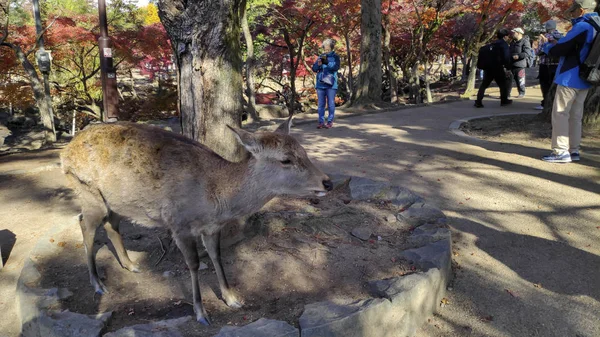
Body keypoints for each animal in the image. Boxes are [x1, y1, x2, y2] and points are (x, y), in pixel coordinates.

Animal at [60, 117, 332, 322]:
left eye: (304, 152)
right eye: (286, 159)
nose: (327, 182)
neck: (216, 199)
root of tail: (65, 151)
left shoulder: (212, 227)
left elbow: (216, 256)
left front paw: (233, 298)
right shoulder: (179, 223)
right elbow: (193, 264)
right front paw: (201, 312)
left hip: (116, 200)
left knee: (112, 224)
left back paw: (131, 265)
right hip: (87, 191)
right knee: (85, 224)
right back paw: (98, 284)